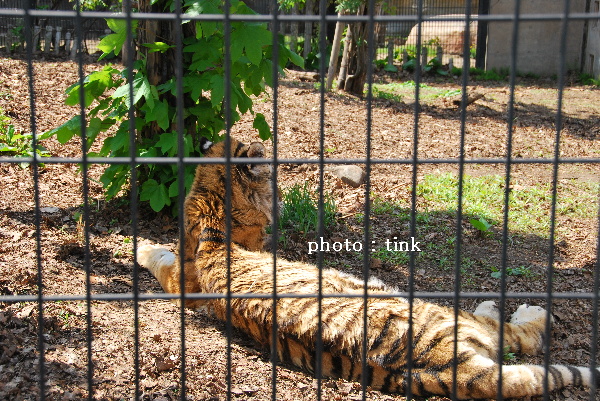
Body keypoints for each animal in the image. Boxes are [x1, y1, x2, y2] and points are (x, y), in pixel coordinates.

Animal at [137, 138, 600, 400]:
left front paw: (142, 247)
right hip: (438, 312)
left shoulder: (184, 277)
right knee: (518, 336)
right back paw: (521, 310)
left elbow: (162, 261)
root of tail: (451, 368)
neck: (213, 210)